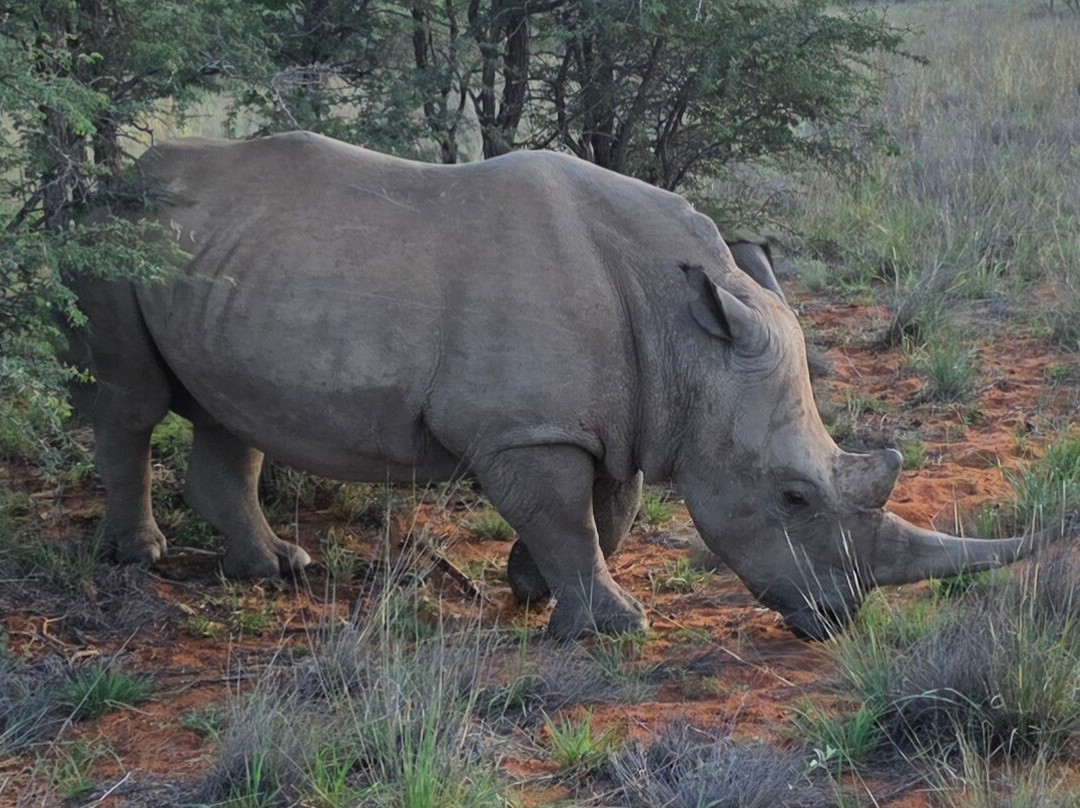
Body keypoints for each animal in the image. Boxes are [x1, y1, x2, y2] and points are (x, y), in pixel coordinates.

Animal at [68, 131, 1059, 640]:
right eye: (793, 496)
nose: (840, 616)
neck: (687, 333)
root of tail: (117, 179)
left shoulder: (621, 413)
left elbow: (605, 513)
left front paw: (533, 588)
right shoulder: (524, 426)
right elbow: (567, 516)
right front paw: (617, 626)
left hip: (224, 258)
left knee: (224, 414)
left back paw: (277, 570)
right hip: (112, 238)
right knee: (132, 401)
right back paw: (139, 557)